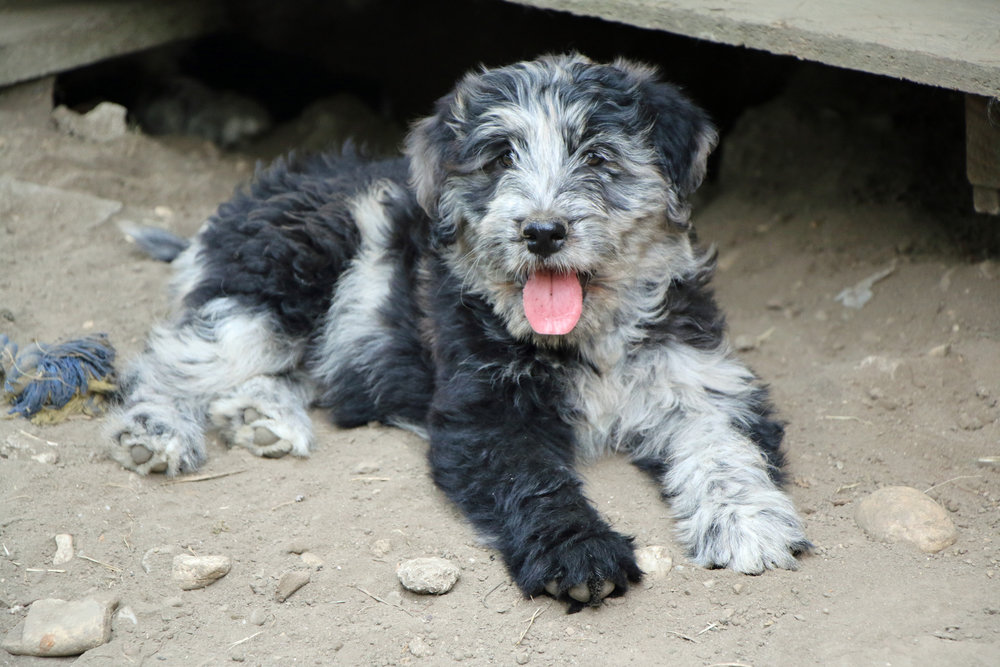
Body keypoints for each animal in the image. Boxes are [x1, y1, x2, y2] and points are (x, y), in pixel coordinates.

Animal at [107, 54, 812, 612]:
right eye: (500, 158)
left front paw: (748, 524)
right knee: (175, 357)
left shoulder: (700, 379)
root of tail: (249, 201)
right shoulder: (486, 413)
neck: (589, 339)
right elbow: (534, 481)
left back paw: (261, 417)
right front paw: (579, 554)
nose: (542, 232)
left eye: (598, 156)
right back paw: (155, 431)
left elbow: (724, 450)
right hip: (282, 285)